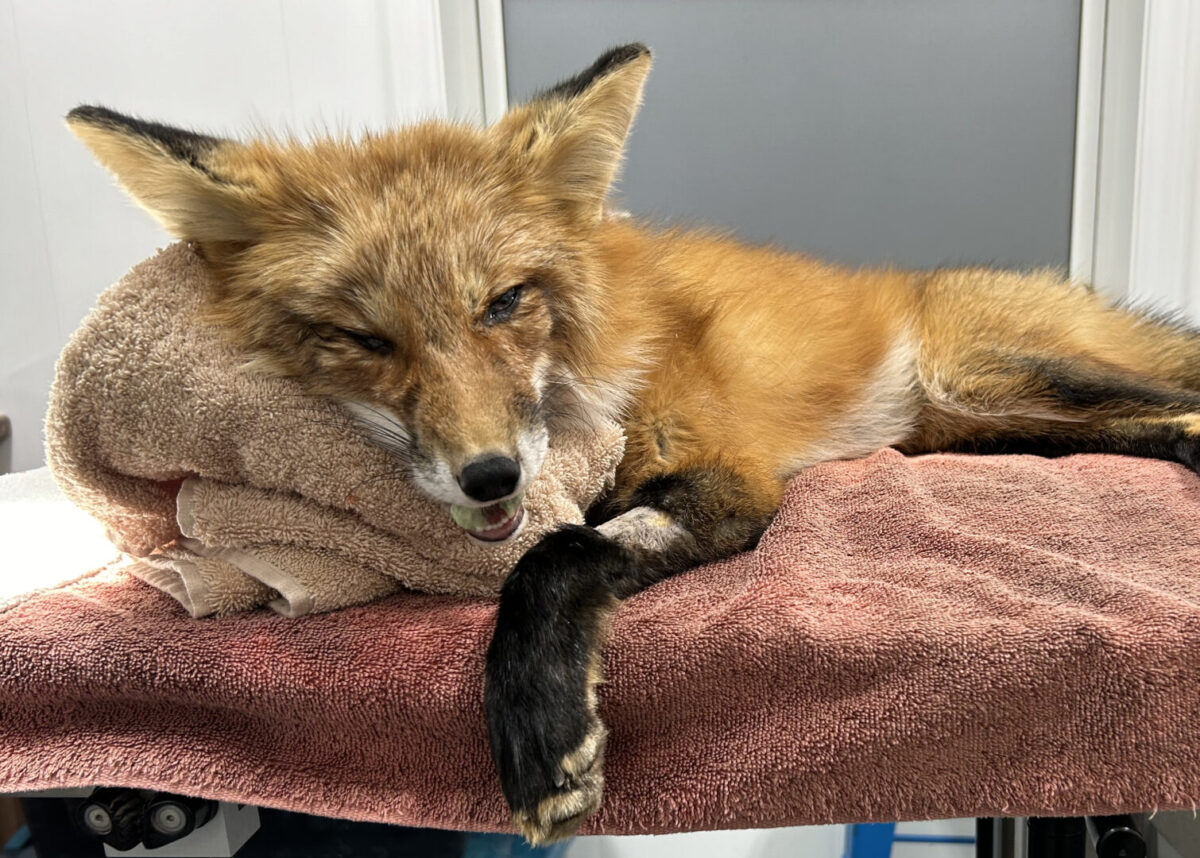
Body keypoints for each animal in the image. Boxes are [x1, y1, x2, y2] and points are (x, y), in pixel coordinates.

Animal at [67, 43, 1200, 844]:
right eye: (362, 339)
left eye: (504, 304)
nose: (491, 473)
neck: (593, 370)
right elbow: (568, 537)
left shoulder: (733, 484)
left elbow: (556, 555)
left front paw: (537, 729)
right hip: (987, 427)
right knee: (1152, 426)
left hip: (999, 378)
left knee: (1182, 402)